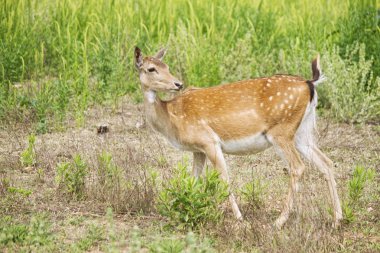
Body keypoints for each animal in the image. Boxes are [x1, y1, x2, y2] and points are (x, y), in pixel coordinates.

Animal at [134, 46, 344, 228]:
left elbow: (224, 178)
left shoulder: (209, 141)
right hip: (302, 132)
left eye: (166, 67)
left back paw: (278, 221)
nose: (178, 84)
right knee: (326, 162)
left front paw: (239, 217)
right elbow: (194, 179)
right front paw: (185, 210)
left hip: (281, 131)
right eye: (152, 68)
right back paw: (337, 220)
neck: (172, 118)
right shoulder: (197, 149)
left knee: (298, 167)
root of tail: (310, 84)